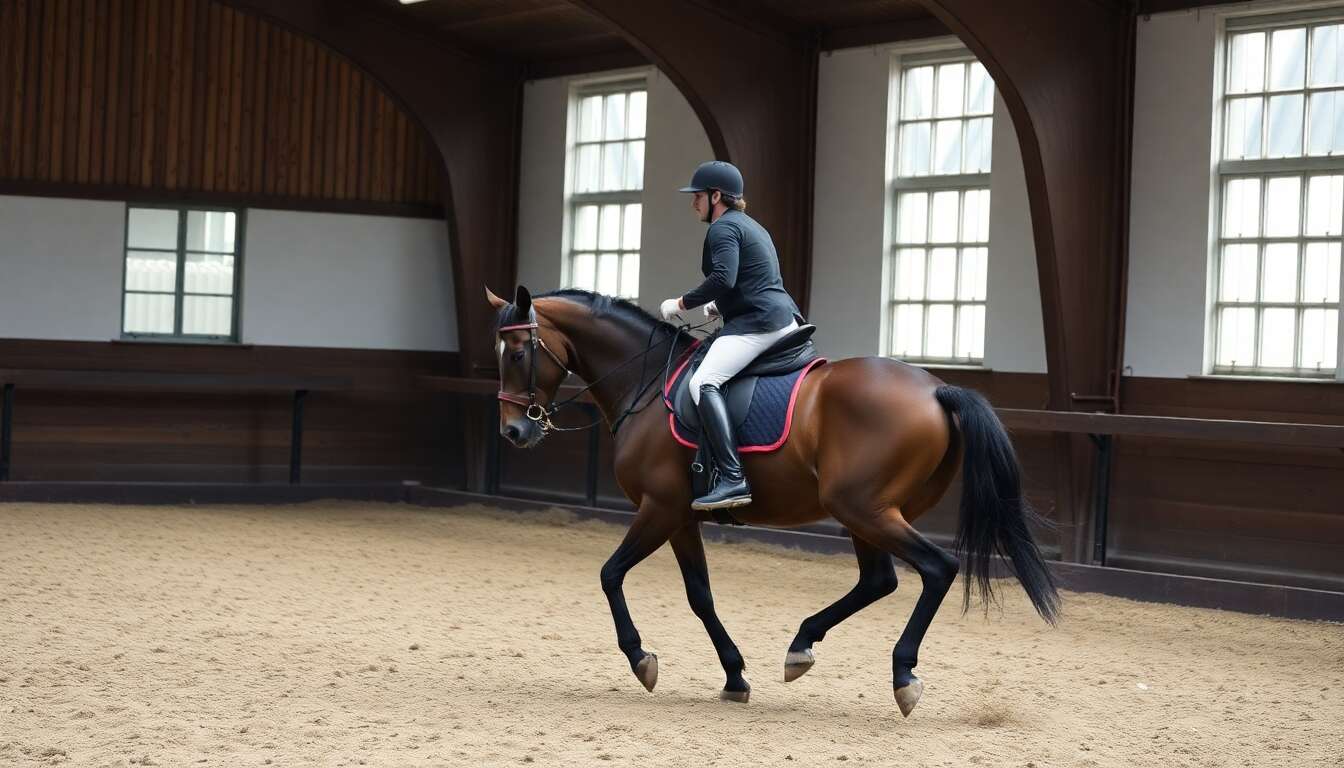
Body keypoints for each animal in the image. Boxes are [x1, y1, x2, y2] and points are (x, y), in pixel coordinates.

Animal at [487, 285, 1058, 717]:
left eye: (517, 354)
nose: (513, 431)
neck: (643, 384)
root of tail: (937, 389)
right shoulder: (681, 518)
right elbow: (700, 596)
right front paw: (734, 676)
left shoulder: (659, 508)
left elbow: (610, 574)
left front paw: (640, 658)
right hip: (868, 512)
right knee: (879, 580)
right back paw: (801, 645)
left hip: (863, 508)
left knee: (937, 568)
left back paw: (902, 674)